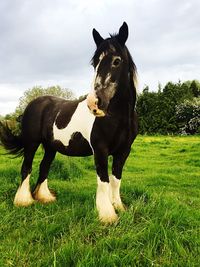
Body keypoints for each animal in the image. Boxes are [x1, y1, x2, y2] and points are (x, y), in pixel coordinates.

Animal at [0, 22, 138, 224]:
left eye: (117, 61)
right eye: (94, 63)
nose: (94, 103)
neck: (117, 117)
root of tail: (35, 103)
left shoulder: (123, 151)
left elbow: (116, 180)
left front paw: (119, 207)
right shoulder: (100, 150)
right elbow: (104, 180)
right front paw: (107, 215)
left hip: (50, 147)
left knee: (44, 167)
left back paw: (44, 197)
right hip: (32, 143)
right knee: (27, 167)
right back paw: (24, 201)